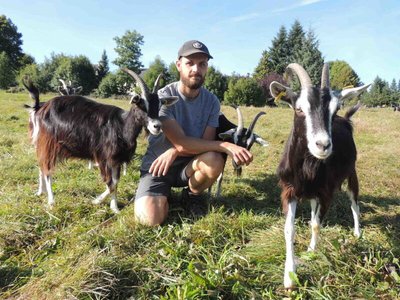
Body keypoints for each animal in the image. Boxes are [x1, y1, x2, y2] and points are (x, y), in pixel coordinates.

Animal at [22, 68, 177, 213]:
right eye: (141, 104)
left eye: (160, 105)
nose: (157, 126)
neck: (121, 126)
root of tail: (41, 107)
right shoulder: (104, 157)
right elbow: (110, 183)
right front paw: (97, 201)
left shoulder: (116, 159)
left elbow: (116, 182)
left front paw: (114, 208)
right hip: (48, 142)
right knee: (47, 169)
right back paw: (51, 201)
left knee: (41, 165)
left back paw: (40, 192)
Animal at [270, 62, 370, 288]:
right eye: (299, 109)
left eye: (335, 109)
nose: (323, 145)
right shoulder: (289, 190)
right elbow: (289, 229)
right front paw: (289, 275)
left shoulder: (326, 192)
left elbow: (317, 224)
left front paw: (311, 251)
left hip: (352, 174)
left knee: (354, 203)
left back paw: (357, 233)